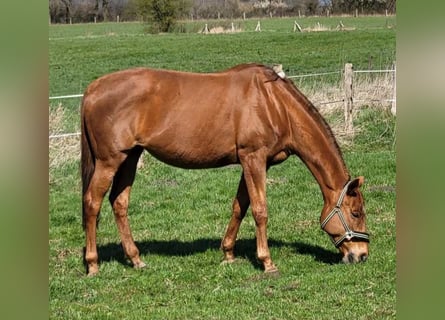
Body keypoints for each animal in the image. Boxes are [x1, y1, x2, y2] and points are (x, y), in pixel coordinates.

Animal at [81, 63, 370, 276]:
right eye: (356, 213)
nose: (362, 255)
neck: (274, 103)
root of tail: (93, 88)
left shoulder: (252, 162)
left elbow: (239, 207)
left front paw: (228, 253)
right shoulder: (253, 158)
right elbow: (260, 210)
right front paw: (267, 262)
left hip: (130, 157)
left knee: (119, 202)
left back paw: (136, 259)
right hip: (109, 161)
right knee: (92, 202)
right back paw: (93, 264)